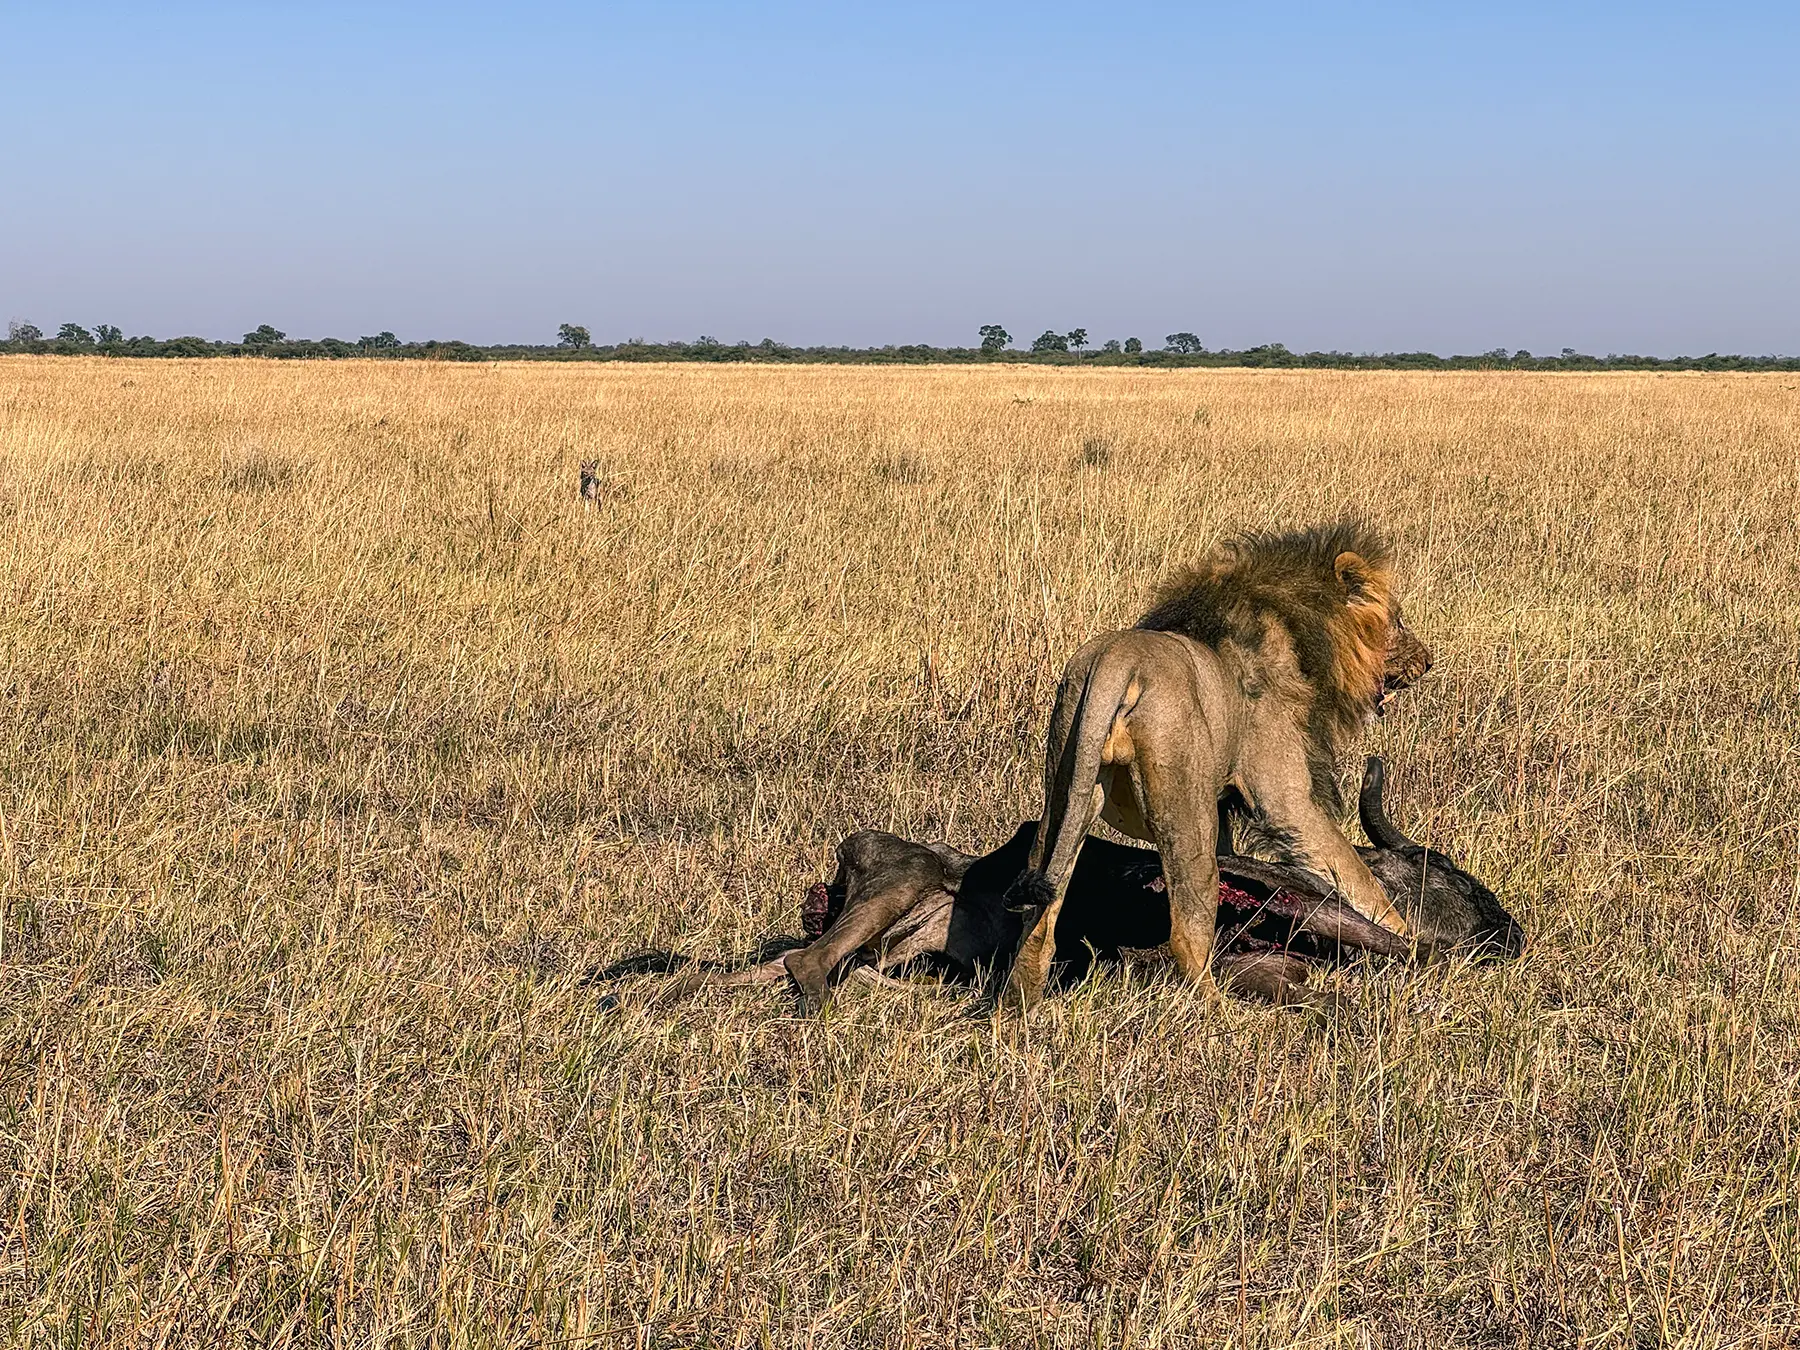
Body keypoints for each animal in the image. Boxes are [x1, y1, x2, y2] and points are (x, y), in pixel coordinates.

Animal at [998, 519, 1433, 1010]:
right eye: (1398, 620)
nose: (1427, 661)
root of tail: (1116, 662)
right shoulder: (1285, 801)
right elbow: (1358, 878)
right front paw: (1408, 940)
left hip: (1066, 786)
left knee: (1040, 919)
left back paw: (1019, 1005)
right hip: (1188, 812)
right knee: (1187, 934)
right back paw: (1218, 1006)